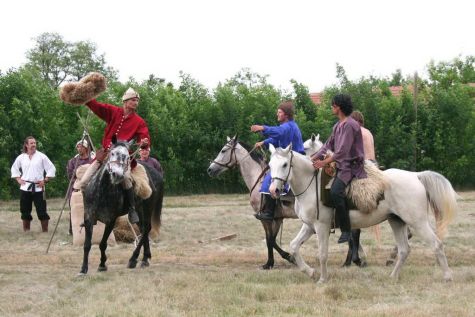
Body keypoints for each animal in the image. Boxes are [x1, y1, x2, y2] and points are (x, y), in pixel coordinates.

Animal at [268, 143, 458, 282]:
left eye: (285, 164)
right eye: (270, 165)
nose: (274, 190)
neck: (310, 183)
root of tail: (416, 176)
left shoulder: (321, 227)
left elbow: (322, 253)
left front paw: (322, 279)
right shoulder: (309, 226)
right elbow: (294, 246)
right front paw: (310, 272)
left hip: (418, 222)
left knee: (437, 244)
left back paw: (448, 276)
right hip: (396, 221)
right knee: (404, 250)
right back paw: (393, 276)